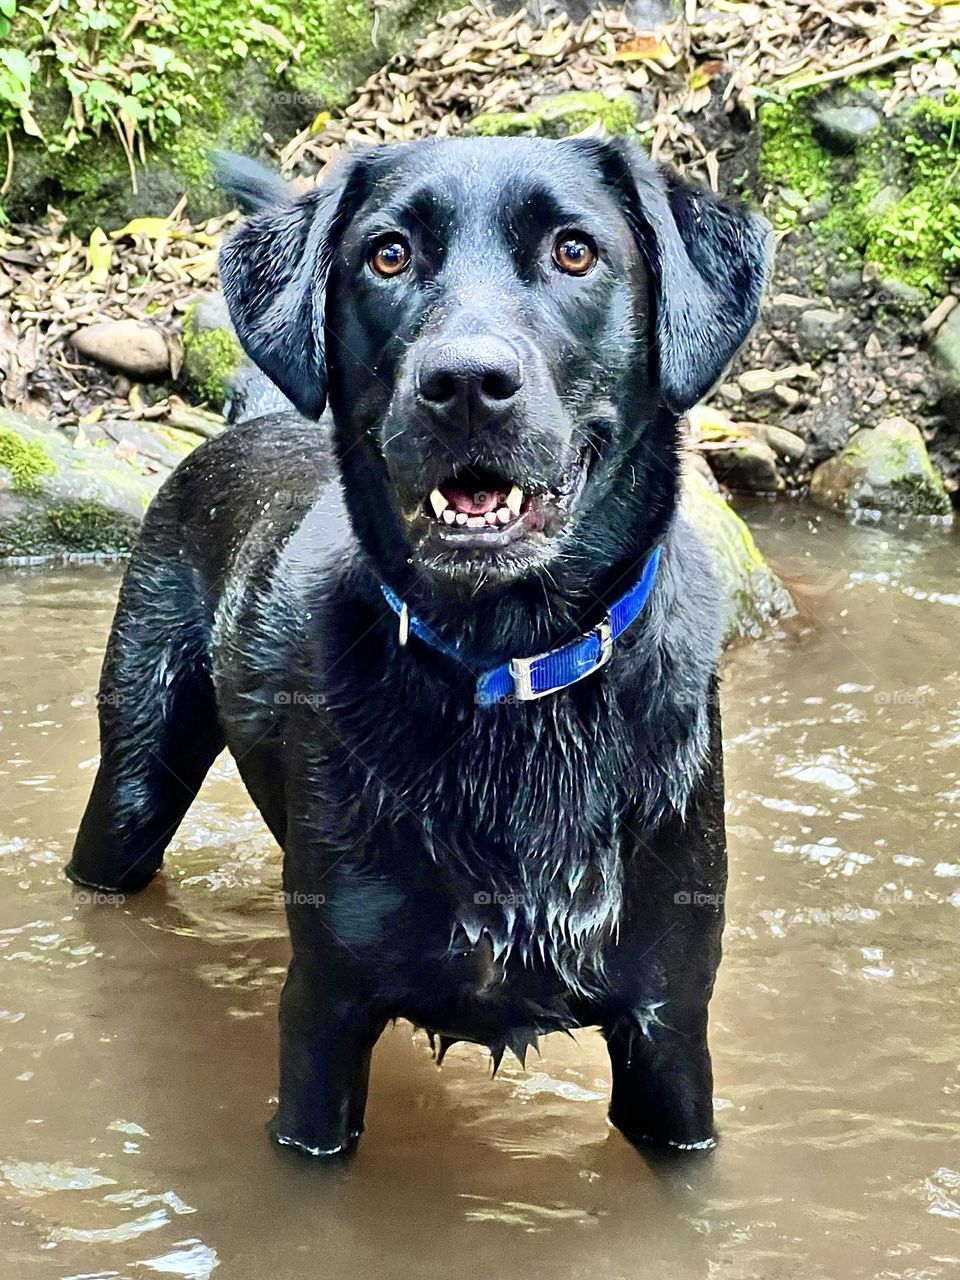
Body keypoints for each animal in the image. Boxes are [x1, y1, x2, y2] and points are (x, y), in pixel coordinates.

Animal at [67, 137, 773, 1162]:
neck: (509, 673)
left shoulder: (669, 1031)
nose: (466, 384)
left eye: (574, 250)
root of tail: (243, 422)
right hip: (135, 775)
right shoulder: (323, 1014)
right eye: (389, 255)